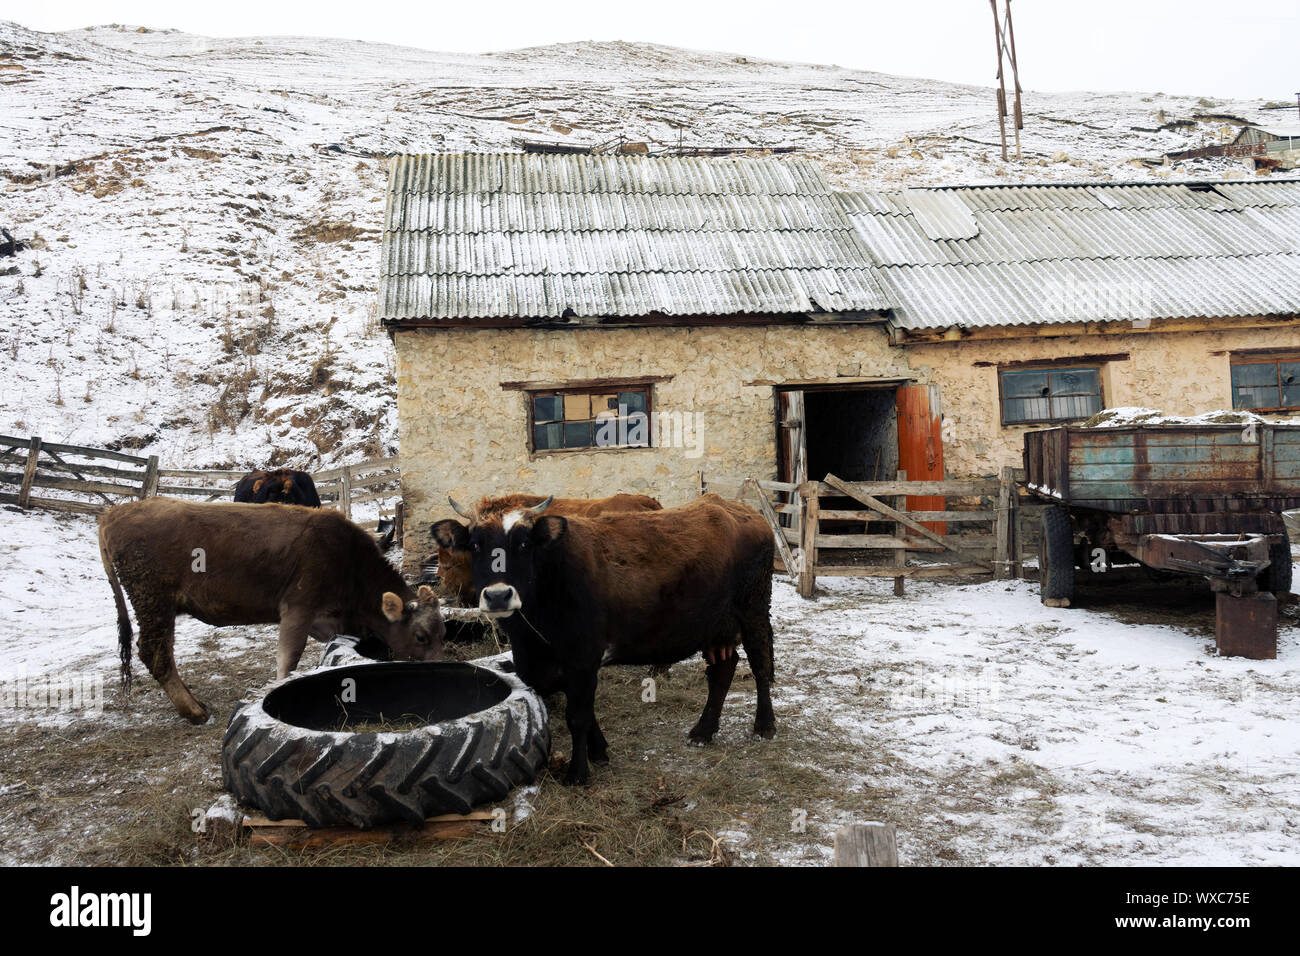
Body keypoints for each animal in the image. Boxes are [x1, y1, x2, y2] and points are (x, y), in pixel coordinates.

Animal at [99, 498, 444, 723]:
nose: (439, 668)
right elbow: (288, 658)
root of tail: (116, 511)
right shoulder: (298, 607)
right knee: (154, 653)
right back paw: (193, 711)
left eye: (443, 633)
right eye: (421, 636)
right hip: (153, 601)